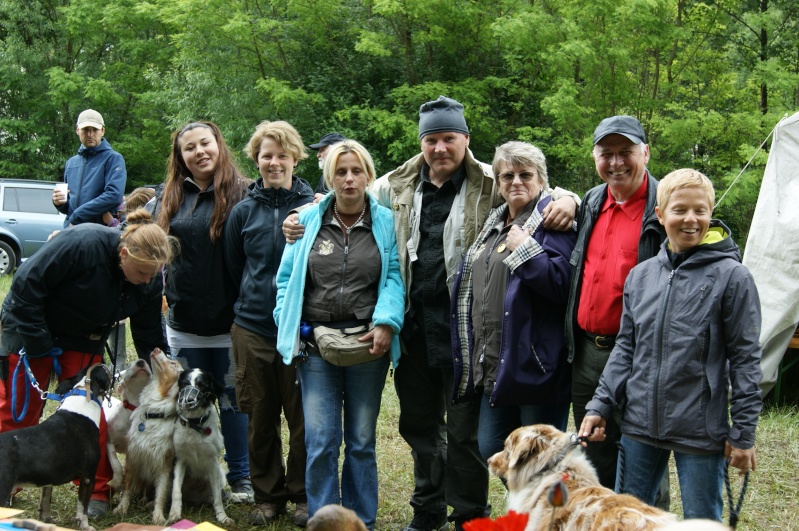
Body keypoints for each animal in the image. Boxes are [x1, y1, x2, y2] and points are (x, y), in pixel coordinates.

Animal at [0, 366, 112, 531]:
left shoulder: (48, 476)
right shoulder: (88, 476)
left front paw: (45, 520)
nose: (108, 365)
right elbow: (82, 507)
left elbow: (46, 499)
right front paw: (85, 526)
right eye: (103, 369)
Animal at [169, 370, 231, 528]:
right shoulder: (180, 460)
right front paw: (174, 514)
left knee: (219, 495)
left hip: (221, 474)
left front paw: (222, 516)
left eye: (202, 385)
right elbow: (176, 491)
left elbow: (218, 497)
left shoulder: (213, 463)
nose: (189, 400)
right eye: (184, 384)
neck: (195, 425)